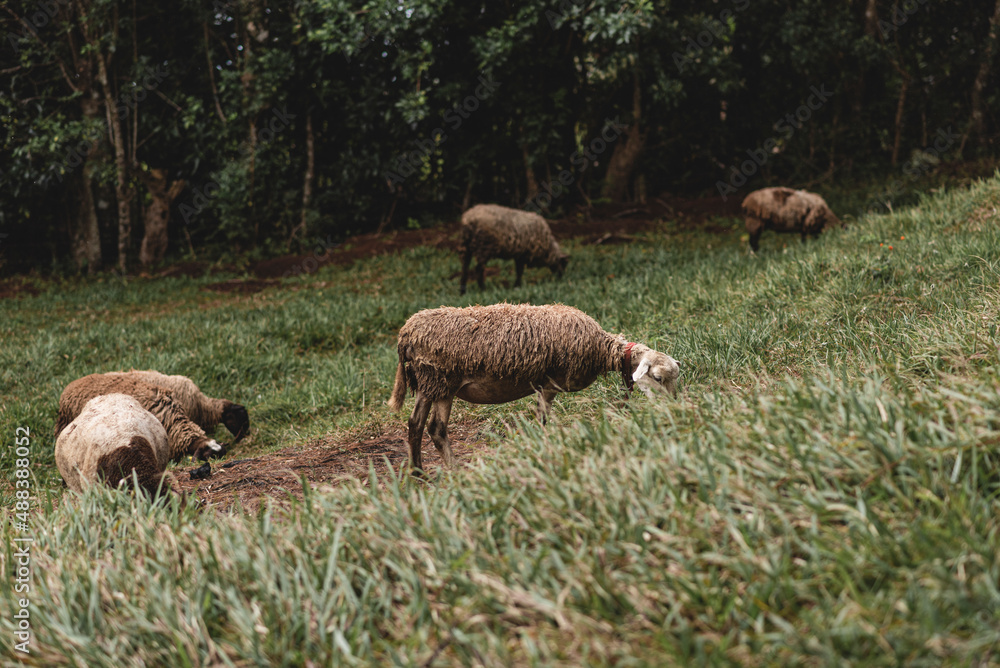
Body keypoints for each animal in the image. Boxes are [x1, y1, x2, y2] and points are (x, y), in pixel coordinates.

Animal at [388, 303, 680, 472]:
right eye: (657, 378)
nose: (673, 410)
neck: (600, 349)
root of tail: (406, 333)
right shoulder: (550, 385)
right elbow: (542, 421)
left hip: (430, 384)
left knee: (415, 424)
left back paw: (417, 472)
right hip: (441, 381)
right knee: (435, 429)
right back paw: (454, 472)